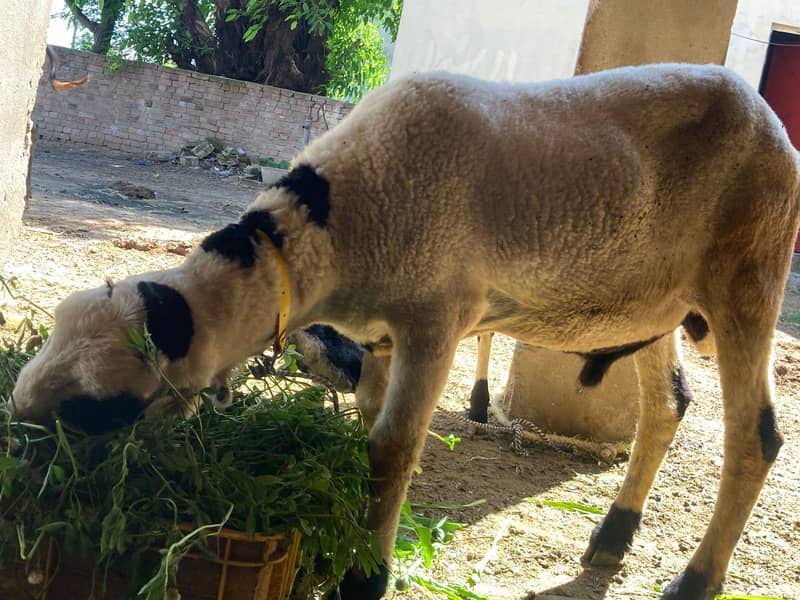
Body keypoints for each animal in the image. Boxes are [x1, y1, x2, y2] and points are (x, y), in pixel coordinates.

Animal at [11, 63, 800, 600]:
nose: (18, 440)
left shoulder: (435, 318)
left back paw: (695, 580)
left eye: (100, 410)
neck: (328, 231)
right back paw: (611, 539)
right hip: (655, 299)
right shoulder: (382, 336)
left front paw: (366, 577)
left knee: (755, 435)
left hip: (750, 269)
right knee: (666, 406)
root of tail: (768, 118)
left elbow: (392, 450)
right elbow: (368, 430)